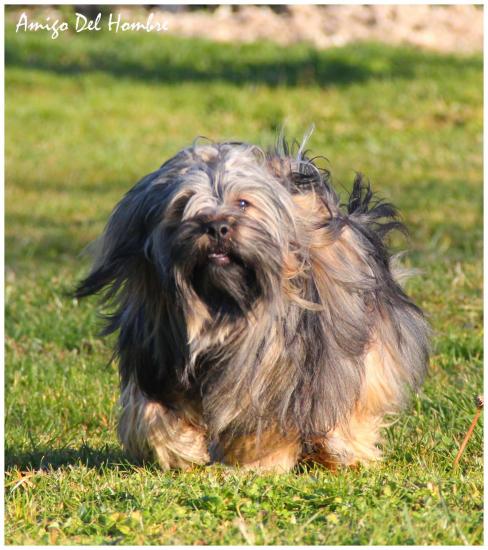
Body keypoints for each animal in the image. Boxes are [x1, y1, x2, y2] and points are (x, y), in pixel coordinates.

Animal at [74, 138, 428, 474]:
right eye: (182, 205)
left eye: (243, 203)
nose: (217, 227)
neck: (223, 304)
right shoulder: (156, 351)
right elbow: (151, 410)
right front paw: (179, 449)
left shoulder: (276, 366)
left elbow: (266, 415)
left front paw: (258, 462)